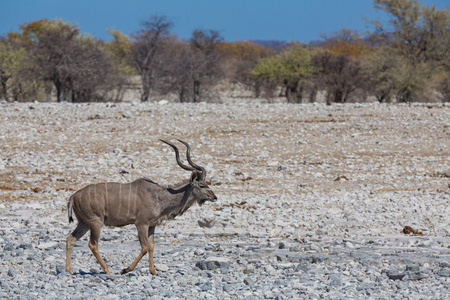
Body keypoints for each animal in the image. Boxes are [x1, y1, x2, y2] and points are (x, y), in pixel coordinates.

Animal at [64, 139, 216, 276]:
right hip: (96, 222)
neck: (159, 196)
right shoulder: (141, 224)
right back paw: (107, 271)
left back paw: (69, 271)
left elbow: (152, 246)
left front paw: (153, 271)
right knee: (93, 244)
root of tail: (73, 196)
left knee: (70, 239)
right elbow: (145, 247)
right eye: (202, 185)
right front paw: (125, 270)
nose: (214, 197)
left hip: (84, 223)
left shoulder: (152, 225)